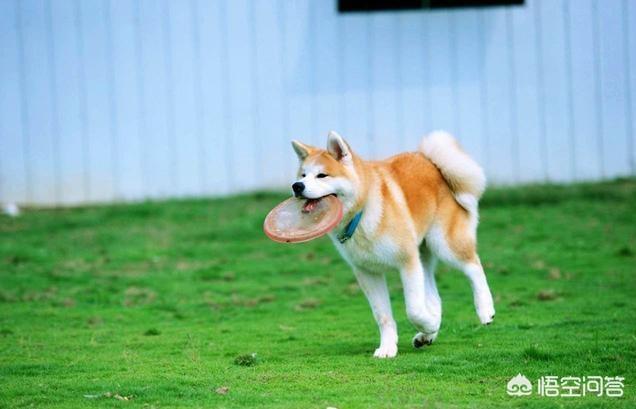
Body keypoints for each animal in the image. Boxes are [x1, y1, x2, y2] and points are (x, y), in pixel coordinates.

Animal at [290, 131, 494, 356]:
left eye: (322, 175)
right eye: (302, 175)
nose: (297, 186)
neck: (362, 213)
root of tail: (431, 162)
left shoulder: (407, 262)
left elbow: (413, 309)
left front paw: (429, 324)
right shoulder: (368, 273)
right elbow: (383, 316)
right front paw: (388, 347)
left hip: (444, 245)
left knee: (474, 267)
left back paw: (485, 310)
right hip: (423, 256)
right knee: (435, 297)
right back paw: (426, 336)